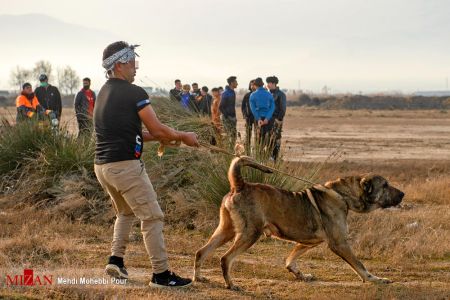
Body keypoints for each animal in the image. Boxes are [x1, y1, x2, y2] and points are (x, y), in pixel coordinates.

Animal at [193, 156, 404, 290]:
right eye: (385, 185)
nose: (402, 194)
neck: (343, 195)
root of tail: (239, 185)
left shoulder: (308, 242)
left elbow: (291, 260)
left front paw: (300, 275)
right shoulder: (339, 244)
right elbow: (360, 266)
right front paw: (376, 280)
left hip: (225, 231)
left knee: (201, 252)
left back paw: (198, 278)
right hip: (249, 233)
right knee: (225, 258)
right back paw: (231, 284)